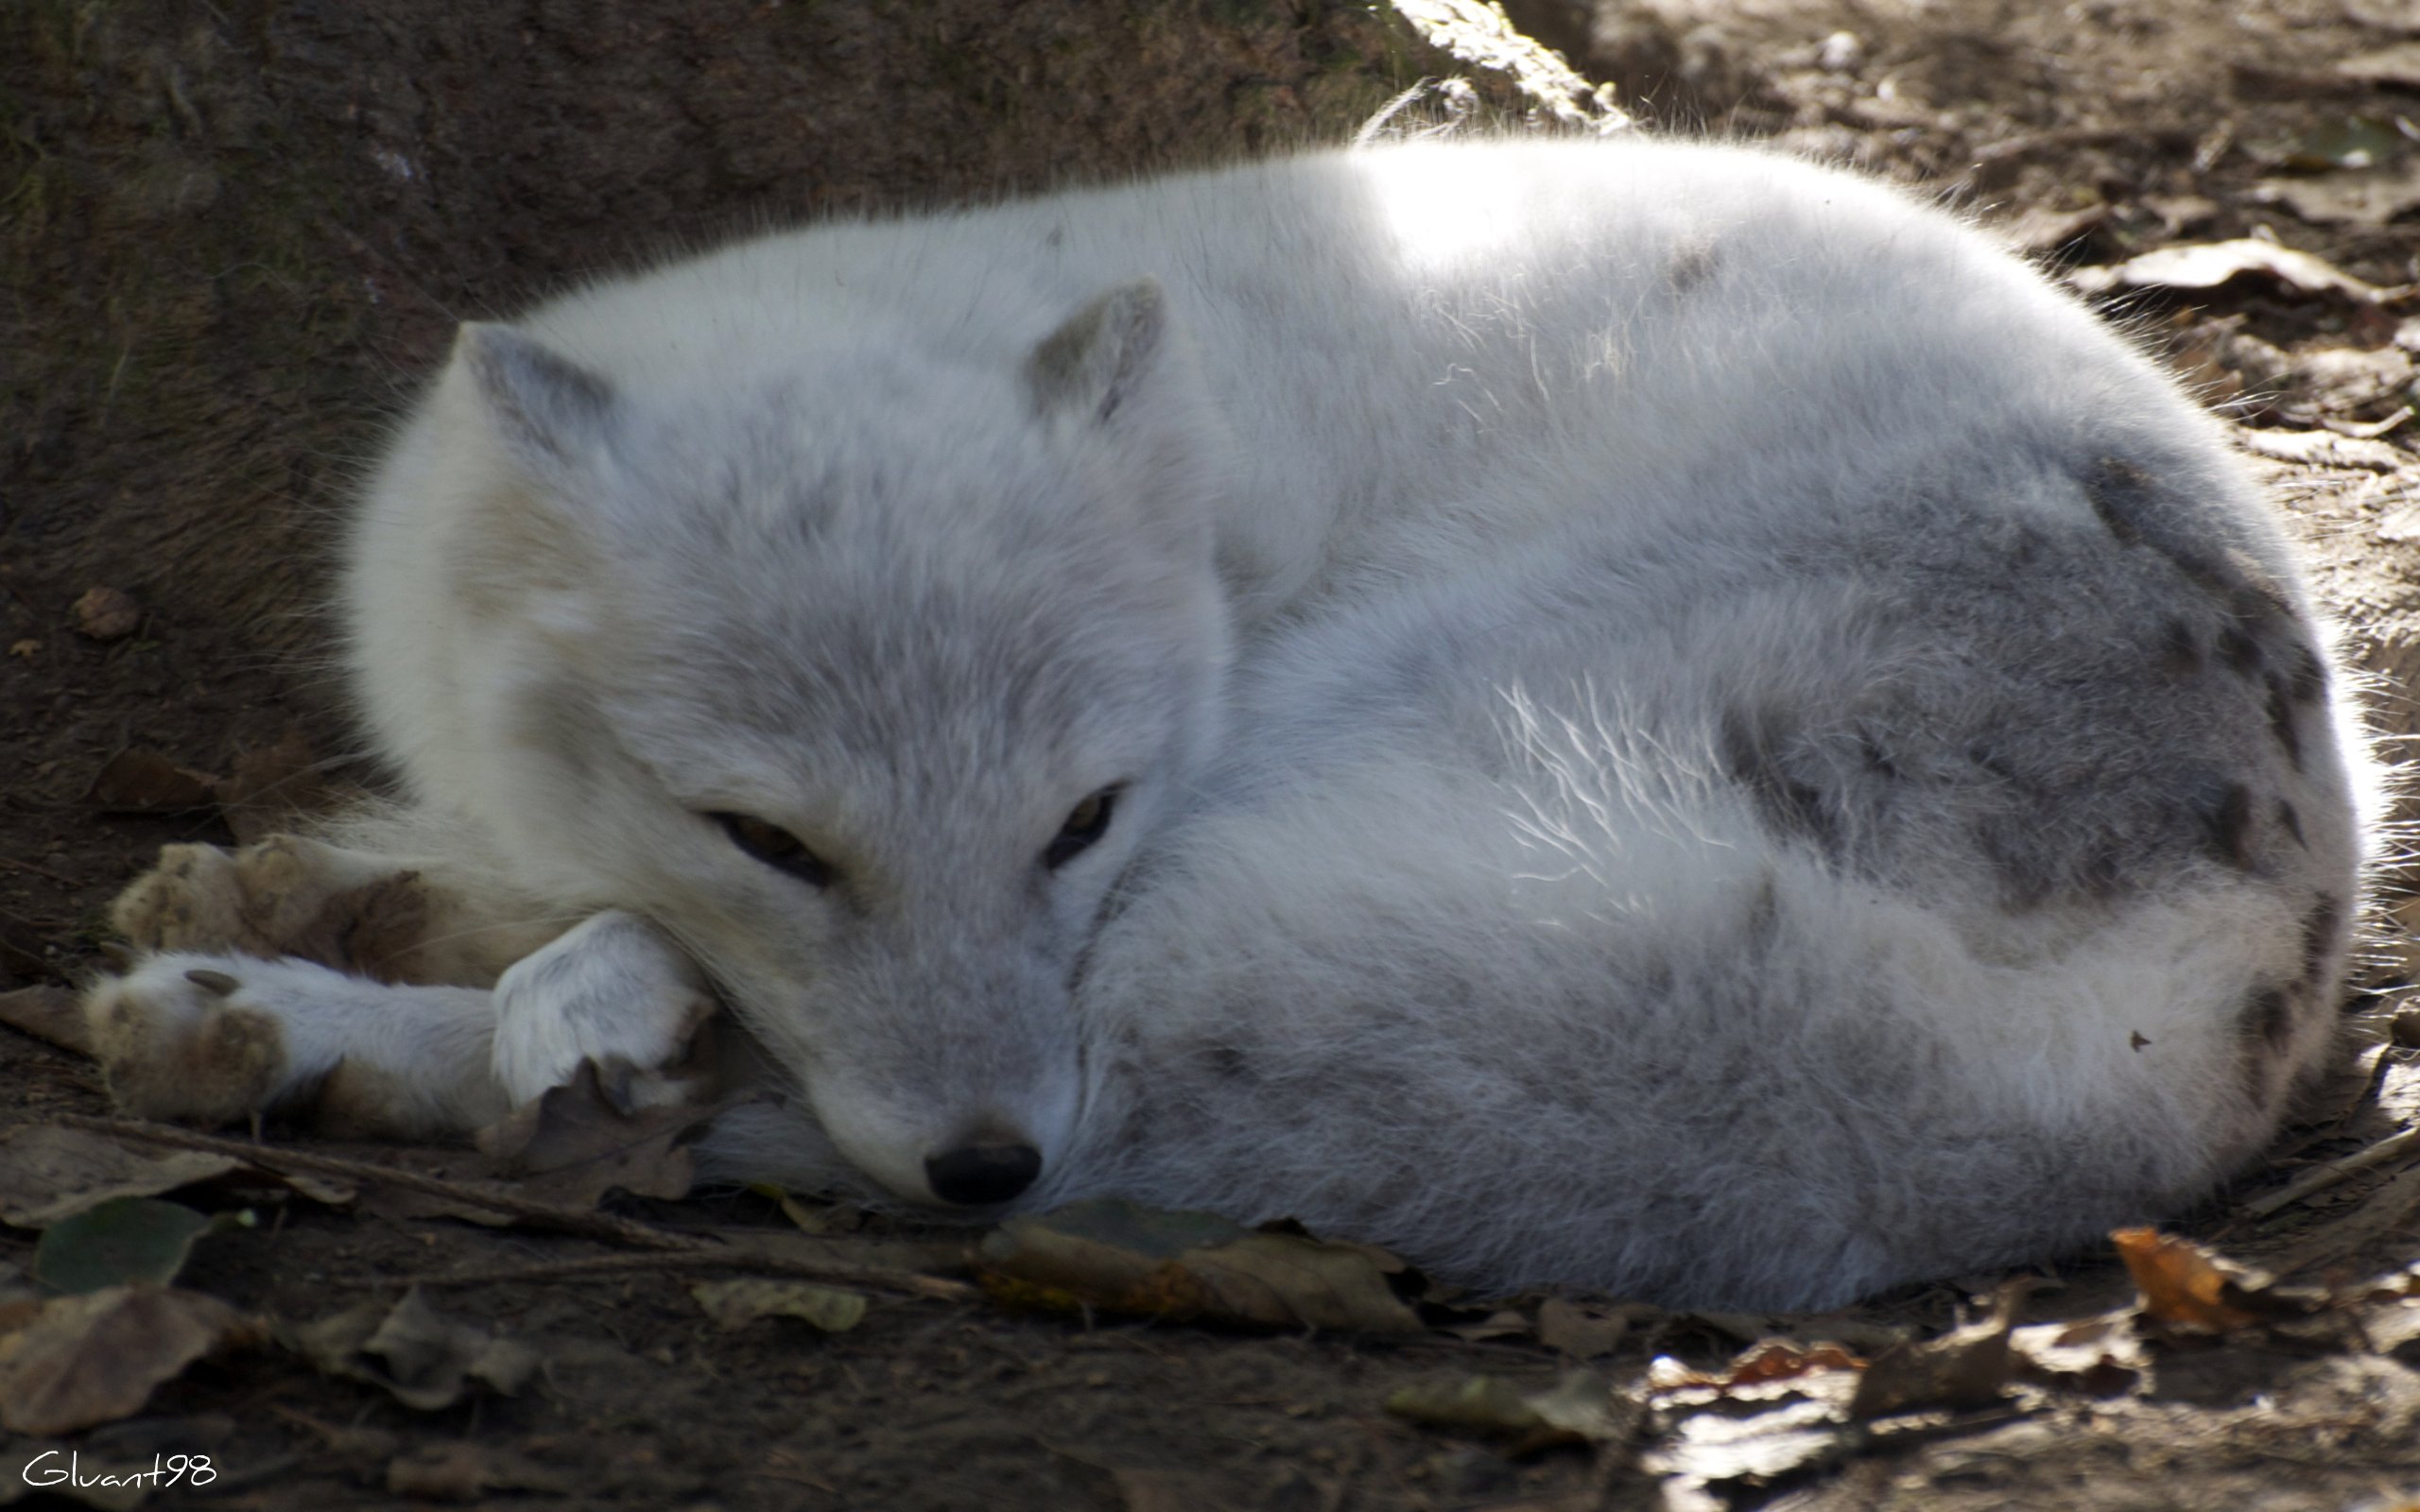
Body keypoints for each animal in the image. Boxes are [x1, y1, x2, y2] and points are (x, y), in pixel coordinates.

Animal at [85, 135, 2371, 1306]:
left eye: (1078, 819)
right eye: (775, 839)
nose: (984, 1169)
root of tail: (2259, 962)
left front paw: (427, 952)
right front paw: (370, 878)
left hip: (1356, 747)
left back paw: (290, 1018)